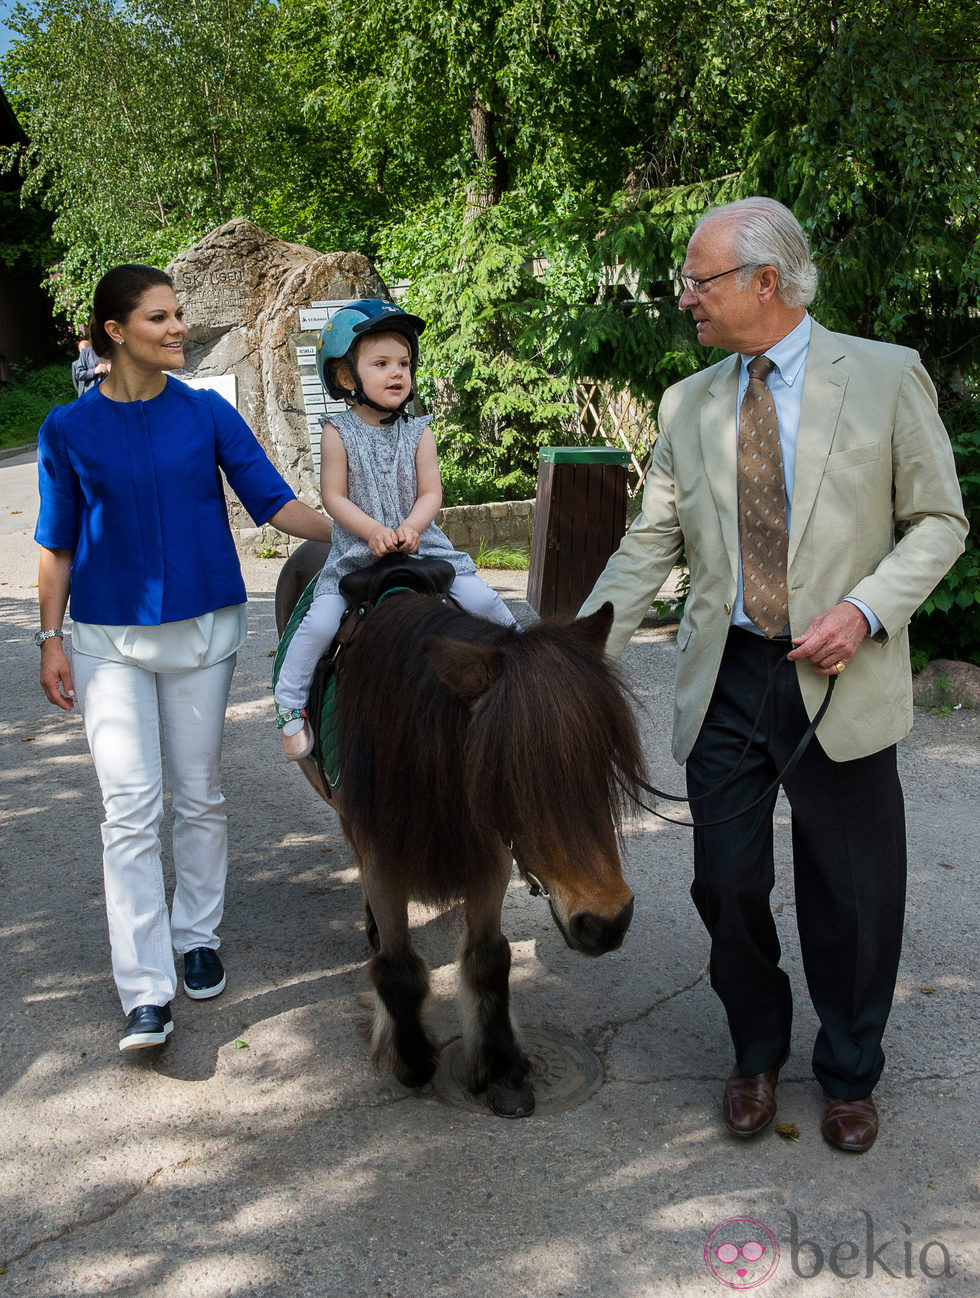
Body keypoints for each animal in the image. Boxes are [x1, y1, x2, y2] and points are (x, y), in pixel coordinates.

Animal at [276, 539, 643, 1116]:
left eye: (602, 758)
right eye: (510, 775)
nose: (607, 921)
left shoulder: (490, 857)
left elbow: (489, 959)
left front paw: (503, 1068)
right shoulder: (383, 859)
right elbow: (399, 966)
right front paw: (410, 1058)